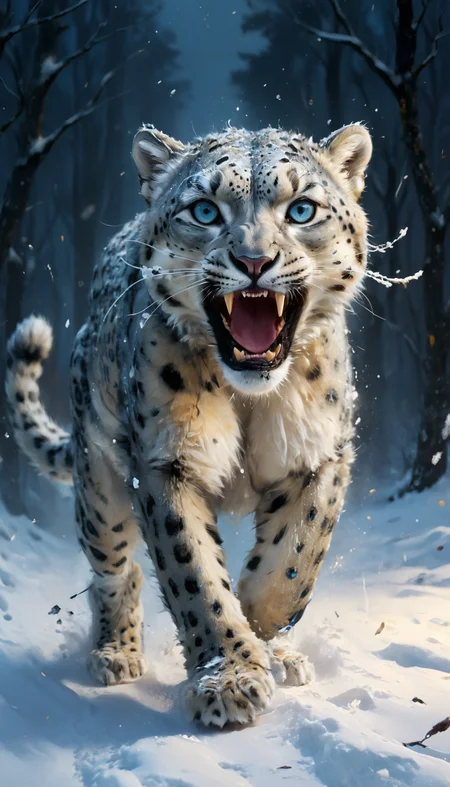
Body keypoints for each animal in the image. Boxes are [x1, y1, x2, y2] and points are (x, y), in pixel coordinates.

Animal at [5, 121, 372, 727]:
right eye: (204, 211)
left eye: (301, 209)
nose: (254, 261)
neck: (250, 399)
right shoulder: (165, 461)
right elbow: (193, 573)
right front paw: (230, 678)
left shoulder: (320, 454)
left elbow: (293, 560)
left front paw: (263, 636)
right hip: (99, 484)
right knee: (114, 568)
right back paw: (115, 653)